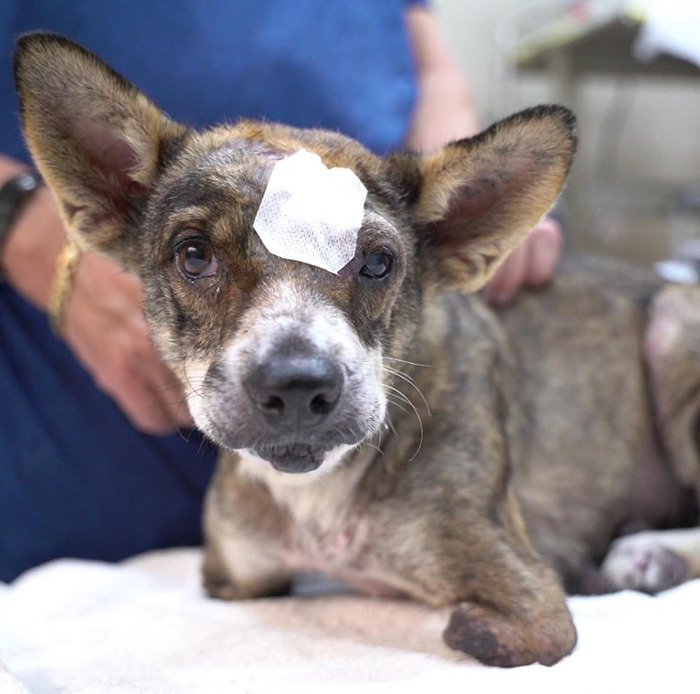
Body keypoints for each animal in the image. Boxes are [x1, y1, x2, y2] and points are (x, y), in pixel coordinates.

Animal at [15, 32, 700, 668]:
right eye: (194, 254)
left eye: (377, 263)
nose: (297, 387)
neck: (317, 498)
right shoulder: (234, 576)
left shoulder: (528, 610)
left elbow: (483, 630)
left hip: (671, 328)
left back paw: (649, 554)